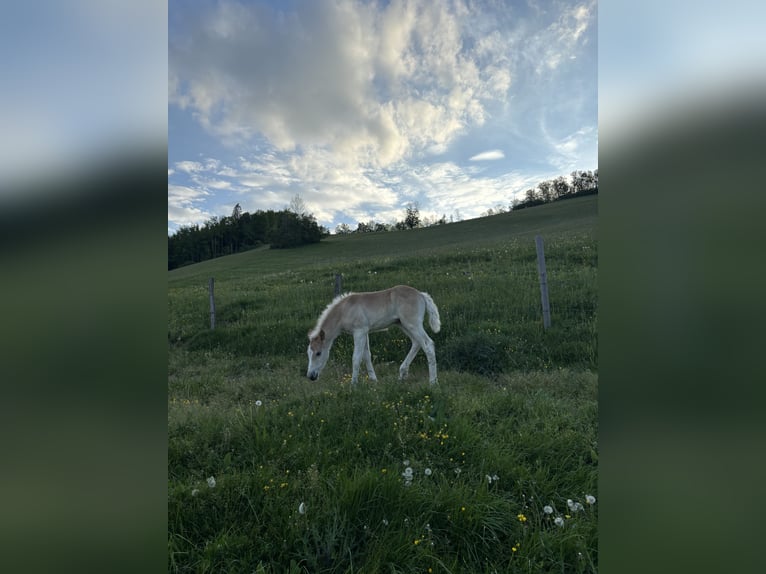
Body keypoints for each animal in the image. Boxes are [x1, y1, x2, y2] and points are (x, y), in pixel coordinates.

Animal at [308, 284, 440, 388]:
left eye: (318, 353)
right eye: (308, 353)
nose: (311, 376)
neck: (344, 310)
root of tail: (421, 294)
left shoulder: (359, 331)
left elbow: (356, 358)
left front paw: (353, 385)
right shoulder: (365, 332)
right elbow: (366, 356)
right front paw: (374, 380)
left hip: (413, 324)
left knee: (428, 344)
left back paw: (433, 382)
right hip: (403, 324)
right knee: (416, 343)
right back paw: (402, 374)